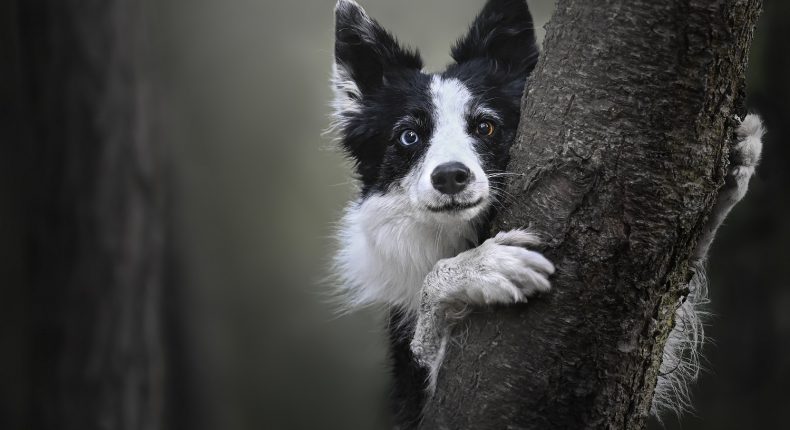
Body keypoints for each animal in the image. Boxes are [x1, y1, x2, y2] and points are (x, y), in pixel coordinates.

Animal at [326, 0, 760, 424]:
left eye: (485, 126)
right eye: (409, 136)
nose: (450, 176)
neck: (459, 234)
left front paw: (732, 168)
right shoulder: (417, 391)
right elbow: (430, 298)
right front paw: (485, 266)